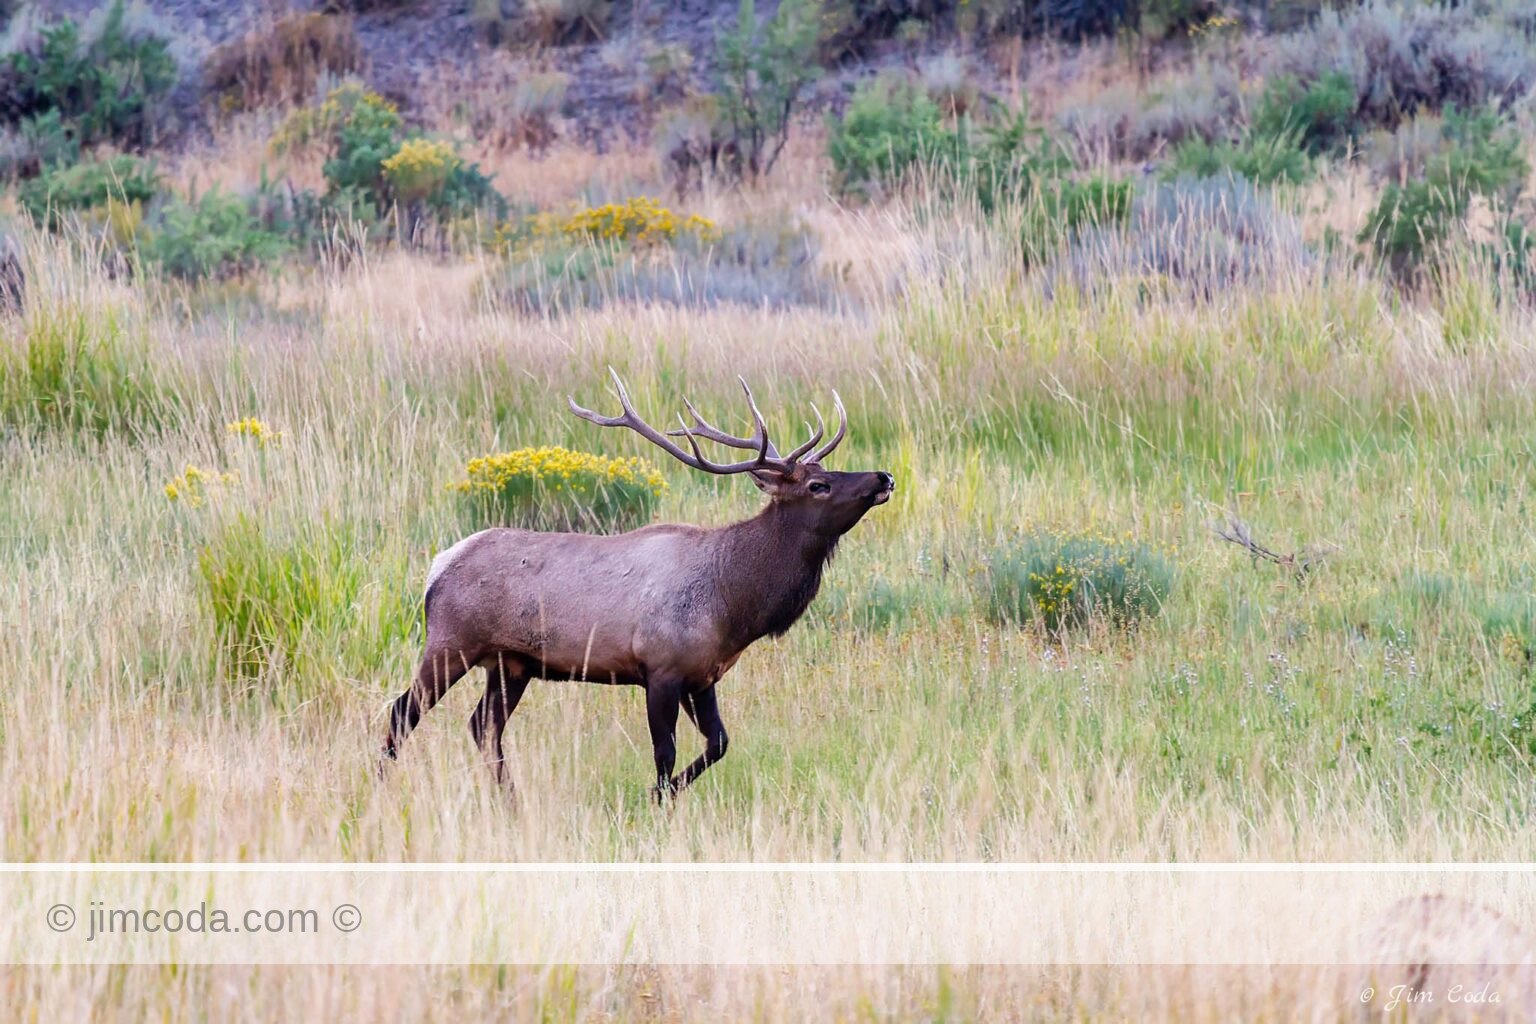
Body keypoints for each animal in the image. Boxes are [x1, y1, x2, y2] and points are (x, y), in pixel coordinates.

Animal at [379, 370, 894, 799]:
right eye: (817, 486)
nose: (884, 475)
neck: (732, 603)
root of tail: (437, 567)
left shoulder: (702, 674)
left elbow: (719, 743)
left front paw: (661, 795)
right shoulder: (660, 668)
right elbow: (664, 755)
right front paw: (655, 801)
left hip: (511, 664)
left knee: (483, 726)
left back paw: (511, 802)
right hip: (451, 642)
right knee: (402, 713)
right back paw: (381, 788)